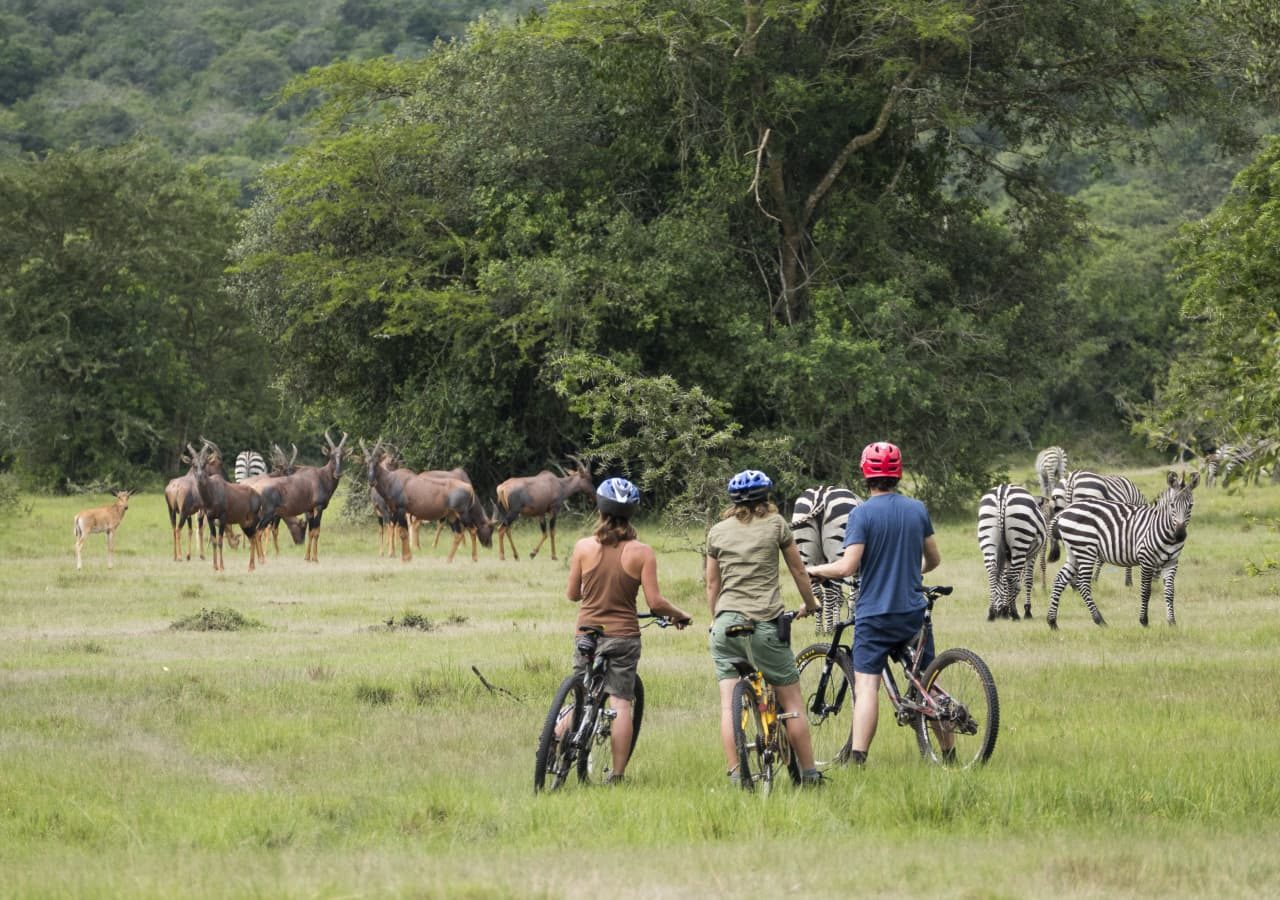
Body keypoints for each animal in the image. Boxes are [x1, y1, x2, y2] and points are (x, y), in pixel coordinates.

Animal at [788, 486, 860, 634]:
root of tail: (821, 494)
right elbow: (850, 594)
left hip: (806, 555)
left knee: (818, 592)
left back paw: (819, 629)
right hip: (837, 551)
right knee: (831, 593)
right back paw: (829, 630)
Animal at [972, 481, 1044, 622]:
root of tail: (1003, 490)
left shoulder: (1007, 557)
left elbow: (1004, 580)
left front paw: (1002, 609)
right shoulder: (1031, 556)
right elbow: (1026, 580)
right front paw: (1026, 611)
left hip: (988, 538)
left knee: (993, 572)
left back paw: (992, 613)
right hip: (1020, 541)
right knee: (1011, 577)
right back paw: (1014, 613)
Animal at [1049, 468, 1198, 629]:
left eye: (1190, 505)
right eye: (1172, 505)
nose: (1180, 534)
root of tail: (1065, 511)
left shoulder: (1172, 562)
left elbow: (1170, 592)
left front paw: (1172, 622)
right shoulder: (1145, 559)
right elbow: (1146, 590)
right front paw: (1144, 621)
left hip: (1073, 551)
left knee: (1060, 579)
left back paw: (1052, 622)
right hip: (1085, 549)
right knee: (1083, 584)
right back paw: (1099, 620)